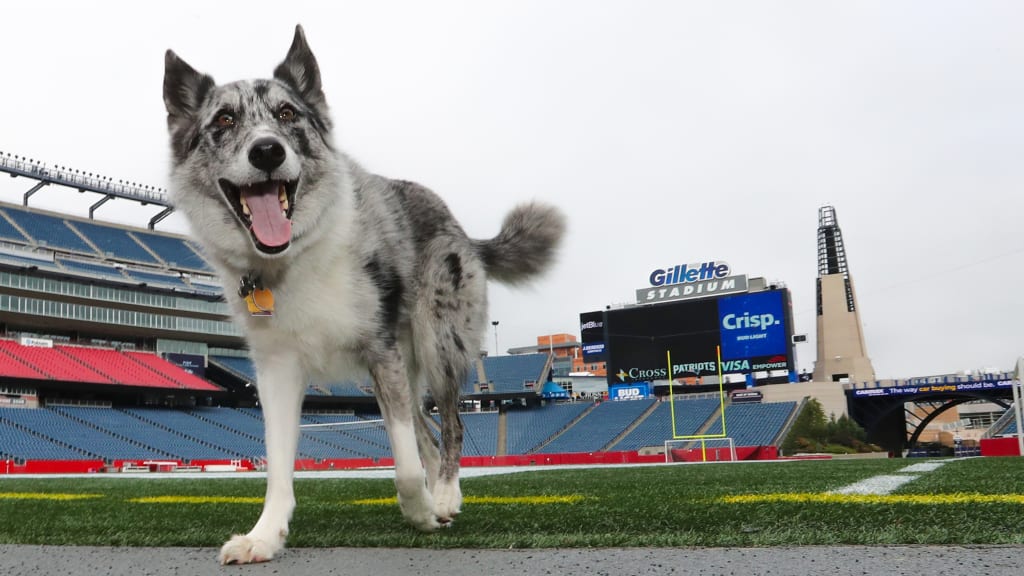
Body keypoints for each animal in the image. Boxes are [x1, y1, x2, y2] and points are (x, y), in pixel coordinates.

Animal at [160, 25, 565, 561]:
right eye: (224, 119)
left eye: (287, 114)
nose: (267, 151)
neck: (295, 256)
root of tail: (462, 230)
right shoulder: (278, 371)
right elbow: (278, 465)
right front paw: (264, 536)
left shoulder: (380, 350)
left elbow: (406, 464)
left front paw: (423, 510)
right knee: (427, 434)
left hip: (438, 347)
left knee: (450, 427)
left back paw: (444, 497)